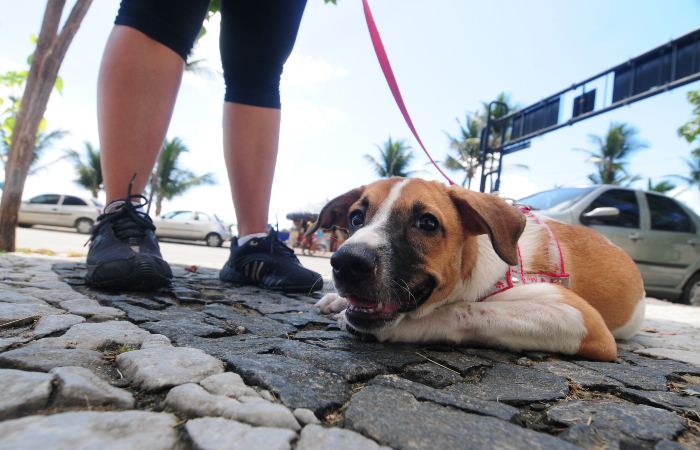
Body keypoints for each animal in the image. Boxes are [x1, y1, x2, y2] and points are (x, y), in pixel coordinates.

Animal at [308, 178, 648, 360]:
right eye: (355, 218)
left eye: (427, 223)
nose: (346, 263)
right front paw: (336, 299)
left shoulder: (582, 320)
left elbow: (468, 310)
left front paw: (406, 328)